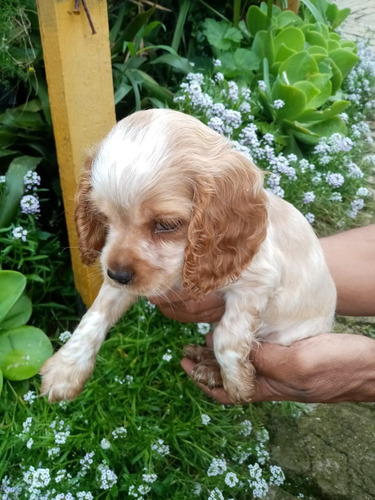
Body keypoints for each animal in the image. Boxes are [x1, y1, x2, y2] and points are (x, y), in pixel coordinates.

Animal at [41, 108, 338, 402]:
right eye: (103, 217)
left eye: (167, 224)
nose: (118, 275)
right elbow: (96, 313)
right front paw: (65, 370)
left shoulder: (258, 282)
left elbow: (227, 337)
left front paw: (236, 383)